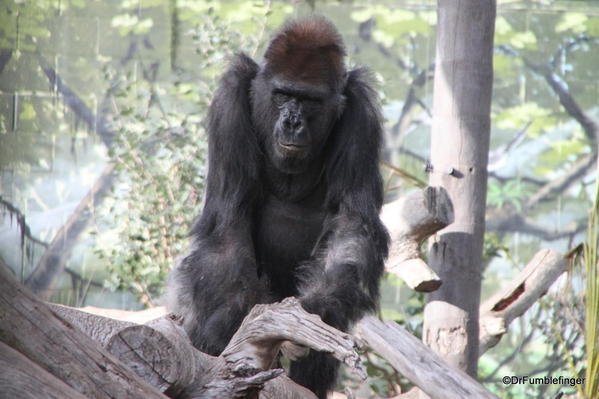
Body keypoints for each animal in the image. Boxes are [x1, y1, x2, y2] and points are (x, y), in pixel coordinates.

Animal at [168, 16, 390, 399]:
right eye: (283, 95)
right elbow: (228, 229)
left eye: (310, 100)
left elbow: (352, 226)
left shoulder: (361, 110)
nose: (292, 122)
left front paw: (315, 311)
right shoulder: (230, 96)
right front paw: (227, 322)